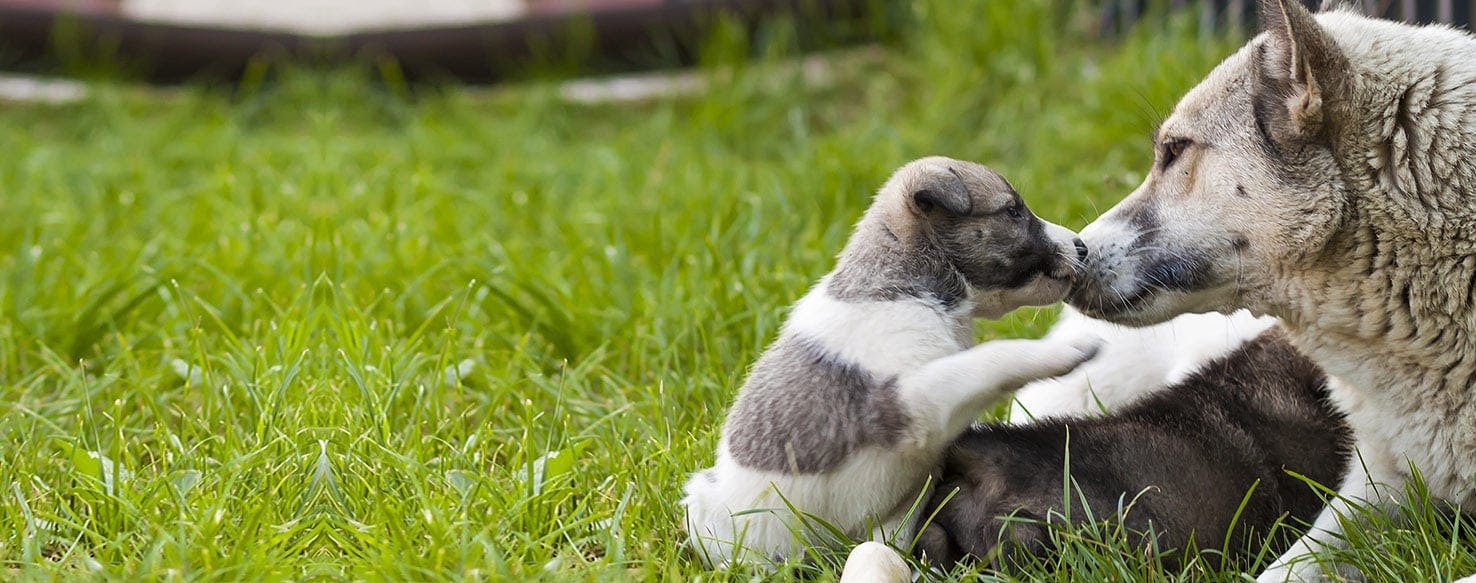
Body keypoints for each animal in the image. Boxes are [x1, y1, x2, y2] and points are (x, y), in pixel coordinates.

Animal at [678, 157, 1098, 569]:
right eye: (1012, 211)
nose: (1081, 247)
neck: (917, 287)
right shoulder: (915, 399)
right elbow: (993, 358)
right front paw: (1069, 349)